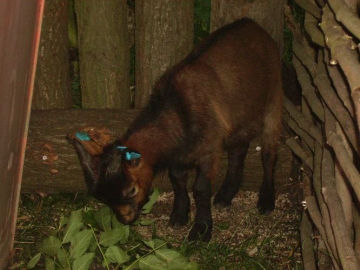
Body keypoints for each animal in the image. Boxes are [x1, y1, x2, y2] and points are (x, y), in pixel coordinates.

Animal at [72, 17, 282, 242]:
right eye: (103, 198)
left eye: (131, 190)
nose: (126, 218)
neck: (179, 111)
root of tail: (253, 25)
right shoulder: (178, 155)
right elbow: (177, 180)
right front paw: (179, 215)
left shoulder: (209, 150)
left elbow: (200, 188)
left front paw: (201, 229)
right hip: (240, 116)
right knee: (239, 149)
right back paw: (225, 195)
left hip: (274, 97)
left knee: (269, 151)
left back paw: (266, 200)